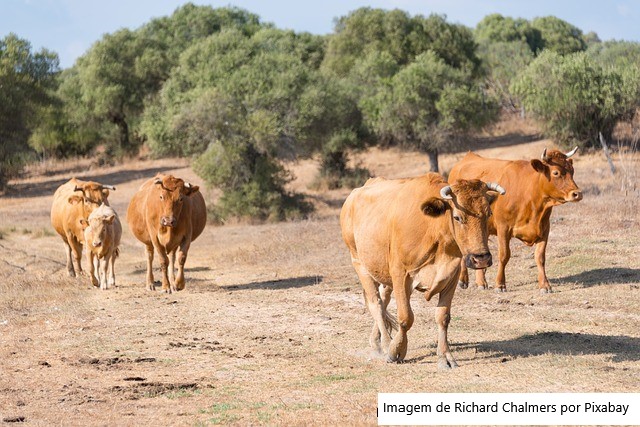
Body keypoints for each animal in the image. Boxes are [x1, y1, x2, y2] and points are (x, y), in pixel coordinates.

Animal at [340, 173, 505, 369]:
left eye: (489, 214)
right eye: (457, 217)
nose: (481, 258)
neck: (434, 231)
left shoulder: (451, 276)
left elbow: (443, 317)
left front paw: (445, 357)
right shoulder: (400, 275)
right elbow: (406, 317)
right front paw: (396, 350)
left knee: (383, 298)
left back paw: (376, 341)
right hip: (359, 263)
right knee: (376, 303)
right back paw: (387, 343)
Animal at [448, 147, 582, 293]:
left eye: (572, 170)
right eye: (556, 172)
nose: (577, 194)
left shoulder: (544, 228)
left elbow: (540, 257)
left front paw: (544, 285)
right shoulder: (503, 228)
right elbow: (504, 255)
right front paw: (500, 284)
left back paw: (481, 282)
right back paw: (463, 280)